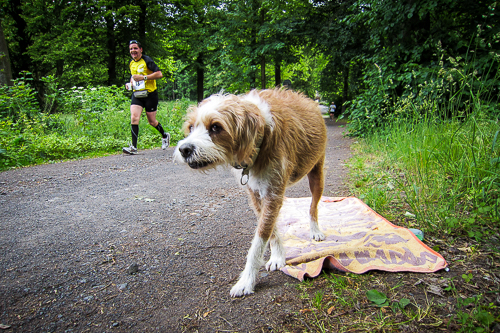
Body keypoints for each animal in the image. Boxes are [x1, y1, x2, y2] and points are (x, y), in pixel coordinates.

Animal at [173, 88, 328, 296]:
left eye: (215, 127)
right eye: (191, 127)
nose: (184, 149)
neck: (260, 139)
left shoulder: (273, 194)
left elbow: (259, 241)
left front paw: (247, 280)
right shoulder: (256, 195)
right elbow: (271, 229)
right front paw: (278, 256)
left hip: (317, 175)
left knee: (313, 206)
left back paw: (315, 230)